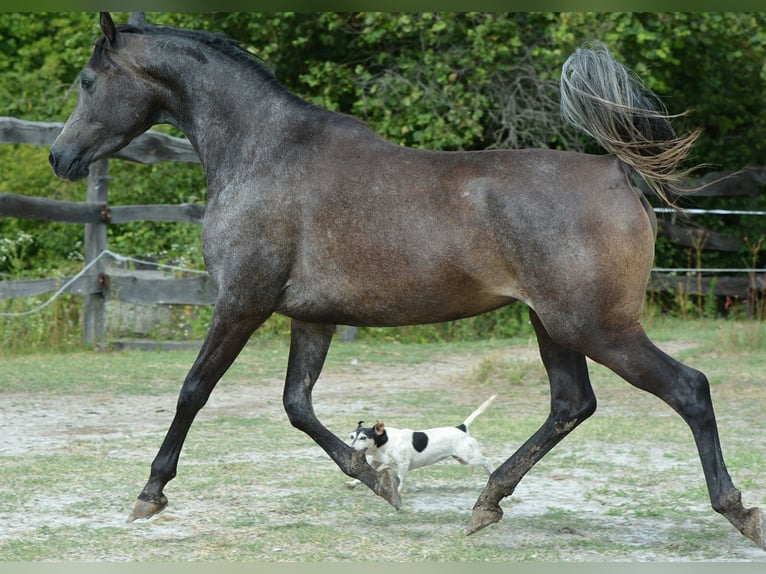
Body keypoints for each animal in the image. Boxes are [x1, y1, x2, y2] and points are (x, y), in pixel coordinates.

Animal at [48, 13, 763, 549]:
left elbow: (193, 391)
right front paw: (377, 481)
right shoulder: (311, 317)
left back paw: (738, 511)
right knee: (571, 404)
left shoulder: (241, 303)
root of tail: (618, 173)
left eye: (86, 80)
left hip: (597, 325)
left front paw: (150, 493)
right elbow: (298, 406)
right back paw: (486, 503)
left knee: (688, 389)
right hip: (555, 324)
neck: (264, 153)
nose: (59, 157)